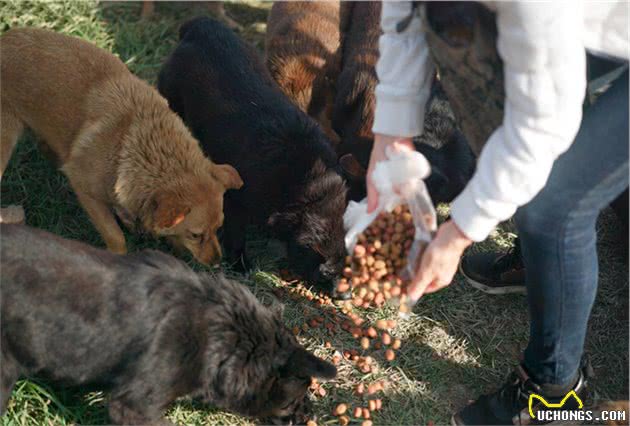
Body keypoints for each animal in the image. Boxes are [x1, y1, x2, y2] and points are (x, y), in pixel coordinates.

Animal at [156, 18, 348, 294]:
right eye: (326, 271)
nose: (345, 296)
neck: (309, 191)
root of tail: (203, 26)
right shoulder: (235, 200)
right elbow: (236, 234)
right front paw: (241, 266)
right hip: (172, 97)